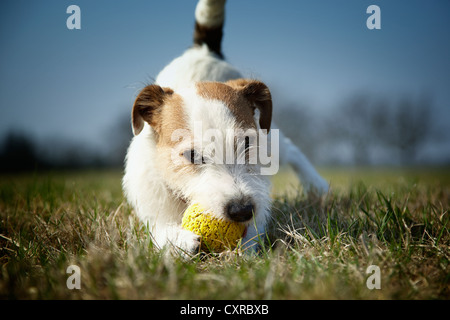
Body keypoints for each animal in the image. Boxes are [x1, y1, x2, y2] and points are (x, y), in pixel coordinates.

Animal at [122, 0, 326, 255]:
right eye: (192, 155)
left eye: (247, 143)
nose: (242, 210)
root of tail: (203, 50)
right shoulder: (153, 209)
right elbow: (159, 232)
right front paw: (180, 239)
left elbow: (253, 232)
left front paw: (244, 252)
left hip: (271, 140)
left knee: (292, 149)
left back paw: (317, 186)